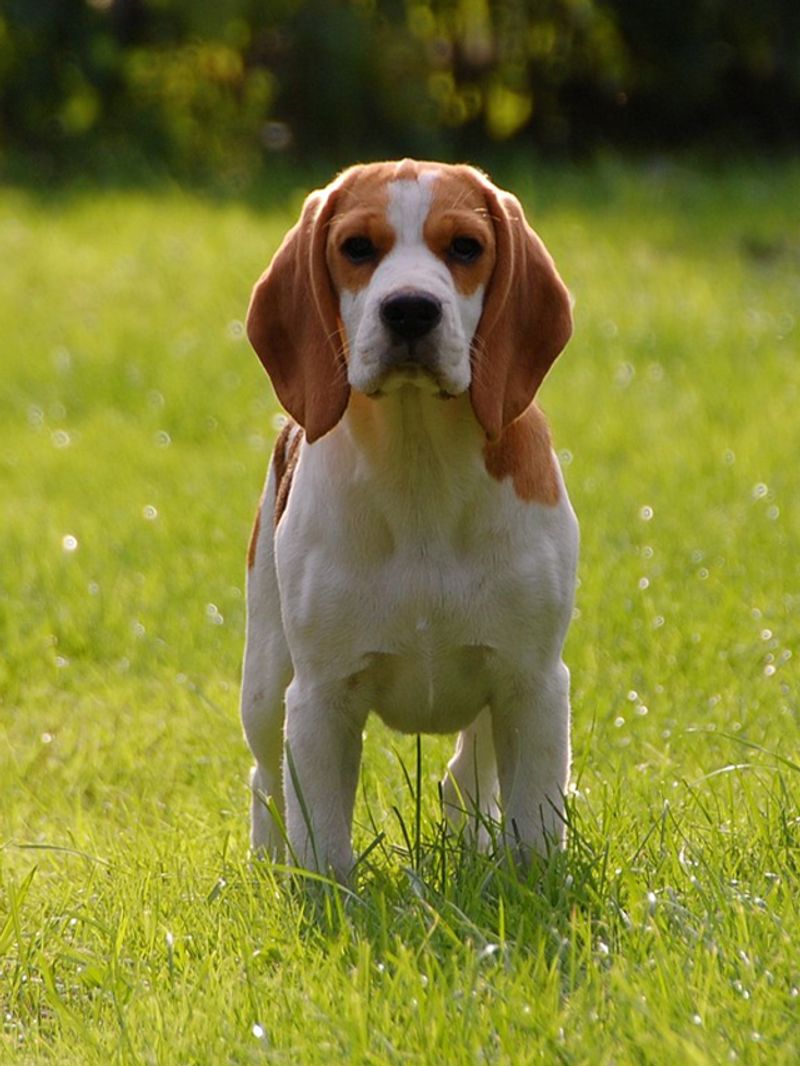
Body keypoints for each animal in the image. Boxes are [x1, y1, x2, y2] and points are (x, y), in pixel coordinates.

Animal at [241, 155, 580, 874]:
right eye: (356, 248)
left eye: (466, 248)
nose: (410, 310)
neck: (419, 461)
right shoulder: (319, 698)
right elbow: (321, 845)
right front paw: (322, 891)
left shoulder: (533, 684)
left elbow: (534, 828)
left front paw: (528, 882)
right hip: (265, 684)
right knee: (265, 781)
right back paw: (266, 867)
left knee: (463, 777)